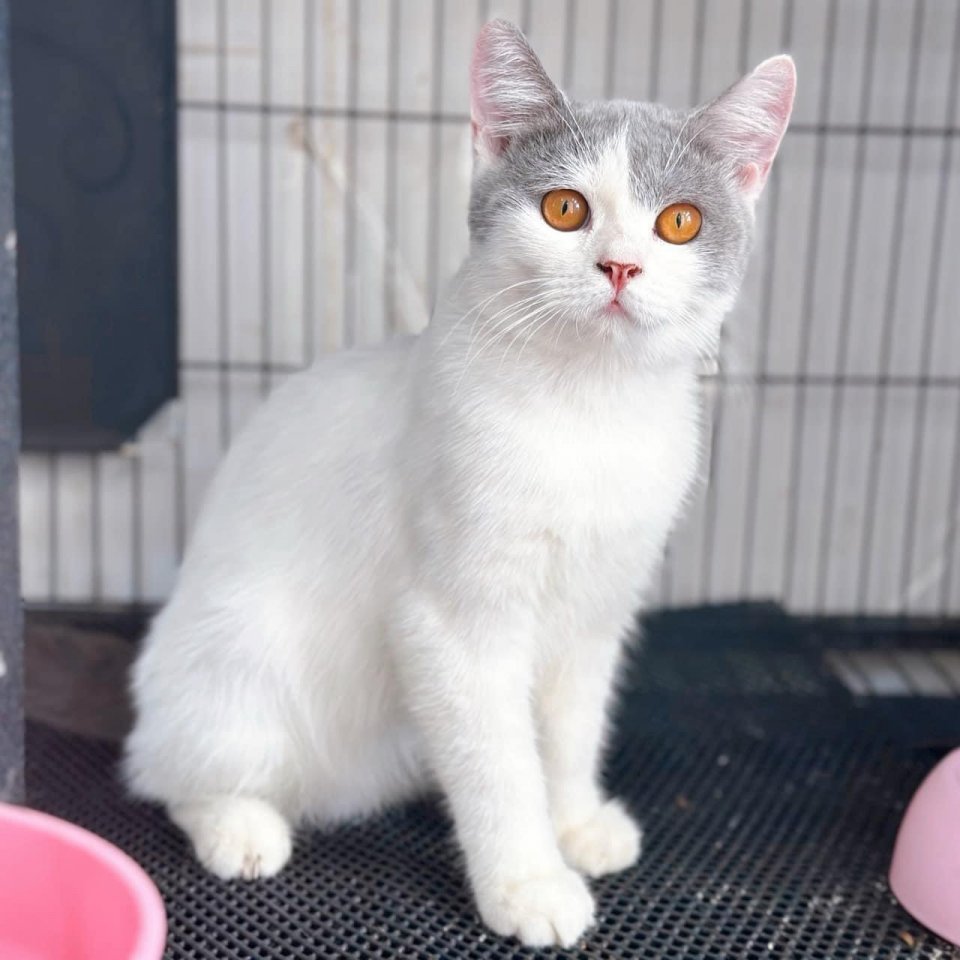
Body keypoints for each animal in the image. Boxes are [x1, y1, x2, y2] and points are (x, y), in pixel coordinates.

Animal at [124, 20, 795, 948]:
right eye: (565, 209)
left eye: (680, 222)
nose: (621, 266)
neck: (587, 412)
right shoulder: (452, 623)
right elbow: (498, 763)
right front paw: (527, 880)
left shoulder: (596, 611)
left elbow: (571, 730)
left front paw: (573, 821)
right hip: (241, 664)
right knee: (169, 771)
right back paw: (239, 824)